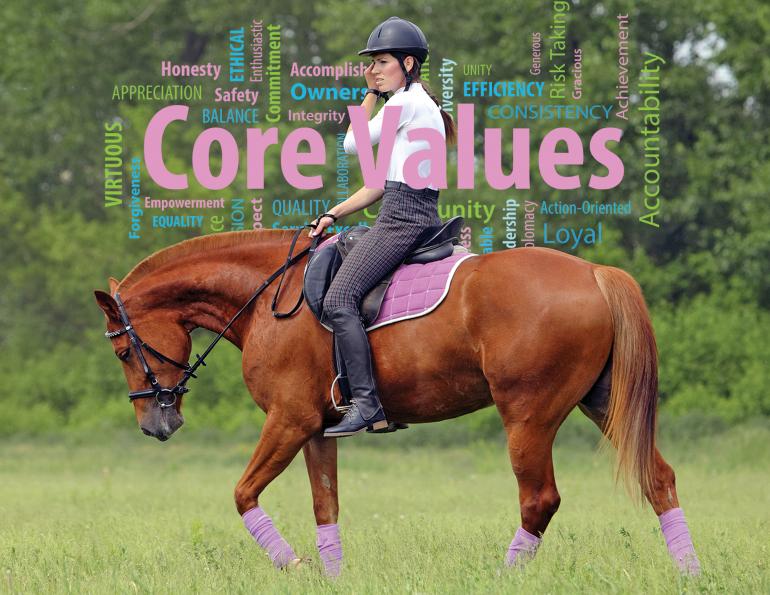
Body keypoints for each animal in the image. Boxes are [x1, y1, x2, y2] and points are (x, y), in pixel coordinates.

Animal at [94, 229, 700, 576]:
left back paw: (503, 577)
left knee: (539, 501)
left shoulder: (288, 421)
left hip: (528, 415)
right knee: (659, 480)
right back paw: (689, 573)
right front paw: (331, 577)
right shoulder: (316, 428)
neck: (269, 298)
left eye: (123, 350)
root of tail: (596, 274)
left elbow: (243, 495)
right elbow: (326, 507)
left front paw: (293, 566)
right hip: (602, 404)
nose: (155, 424)